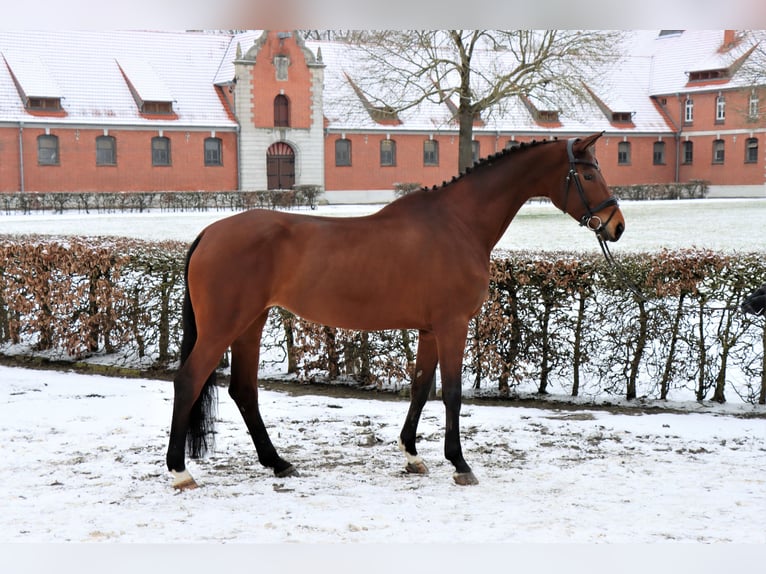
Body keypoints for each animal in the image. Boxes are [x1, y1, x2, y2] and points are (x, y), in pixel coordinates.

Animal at [166, 130, 624, 490]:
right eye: (588, 173)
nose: (616, 225)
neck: (458, 223)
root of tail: (208, 233)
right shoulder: (453, 325)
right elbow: (452, 393)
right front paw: (460, 464)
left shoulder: (429, 330)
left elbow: (421, 388)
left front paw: (412, 455)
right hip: (223, 327)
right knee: (189, 380)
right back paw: (180, 472)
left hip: (250, 323)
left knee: (244, 390)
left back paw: (278, 463)